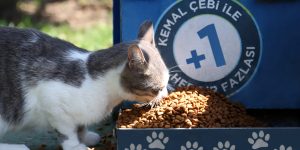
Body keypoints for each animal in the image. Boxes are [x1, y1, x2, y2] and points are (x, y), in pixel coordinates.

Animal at [0, 20, 169, 150]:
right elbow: (67, 132)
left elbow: (80, 125)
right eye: (158, 88)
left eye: (167, 82)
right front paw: (75, 146)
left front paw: (85, 136)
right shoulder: (53, 104)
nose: (166, 94)